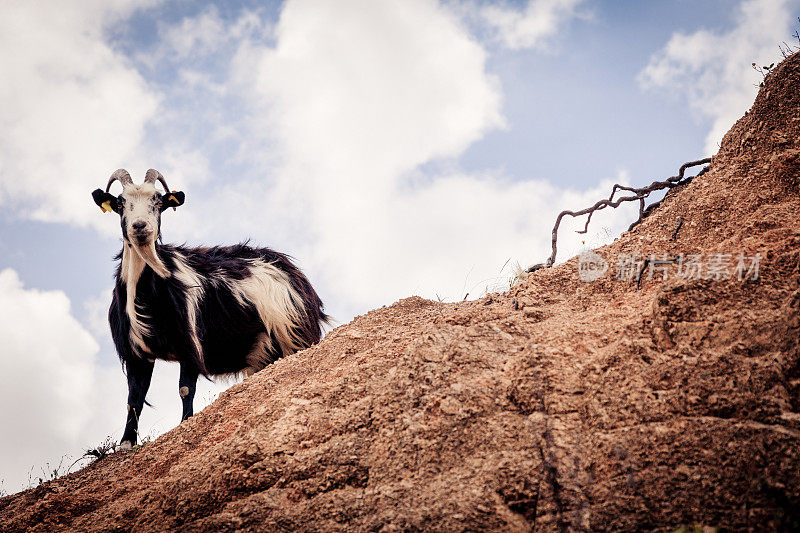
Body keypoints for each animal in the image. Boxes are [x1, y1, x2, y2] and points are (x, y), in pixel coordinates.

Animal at [92, 168, 330, 446]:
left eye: (158, 202)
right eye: (120, 204)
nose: (140, 227)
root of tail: (291, 269)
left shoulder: (190, 344)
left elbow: (185, 389)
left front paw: (185, 425)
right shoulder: (135, 353)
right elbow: (134, 399)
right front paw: (126, 443)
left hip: (295, 334)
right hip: (264, 352)